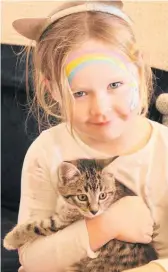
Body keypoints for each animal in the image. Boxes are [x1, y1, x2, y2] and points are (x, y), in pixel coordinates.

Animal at [3, 156, 158, 270]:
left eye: (102, 195)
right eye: (82, 197)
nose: (94, 211)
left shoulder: (62, 222)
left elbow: (38, 225)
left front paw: (11, 239)